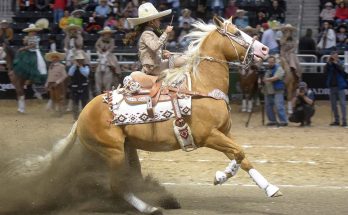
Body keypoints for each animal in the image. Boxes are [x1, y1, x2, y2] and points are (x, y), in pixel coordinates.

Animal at [8, 17, 282, 215]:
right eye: (235, 33)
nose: (264, 48)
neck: (202, 86)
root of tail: (83, 113)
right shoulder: (209, 136)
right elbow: (240, 154)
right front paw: (235, 180)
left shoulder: (224, 133)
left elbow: (241, 158)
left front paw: (258, 185)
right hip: (113, 152)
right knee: (117, 185)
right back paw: (150, 208)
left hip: (127, 149)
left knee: (129, 181)